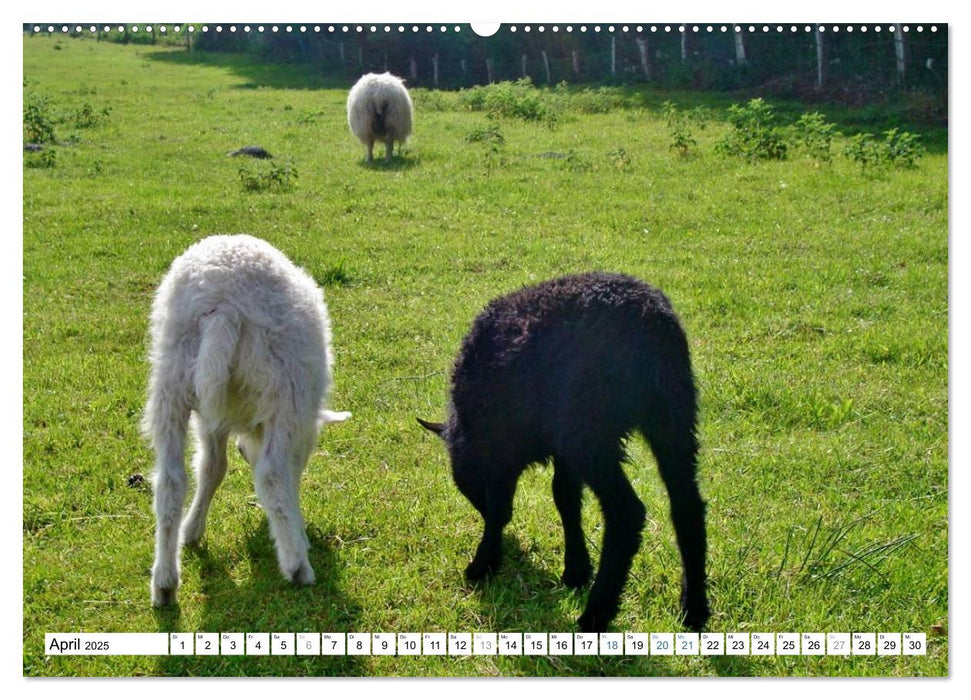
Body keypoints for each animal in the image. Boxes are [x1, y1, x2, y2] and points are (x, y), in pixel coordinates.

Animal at [142, 232, 352, 604]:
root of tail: (223, 304)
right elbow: (285, 475)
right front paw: (297, 534)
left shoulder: (212, 419)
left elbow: (212, 468)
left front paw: (192, 531)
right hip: (285, 388)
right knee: (270, 474)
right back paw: (298, 568)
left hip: (171, 378)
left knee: (170, 480)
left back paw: (164, 583)